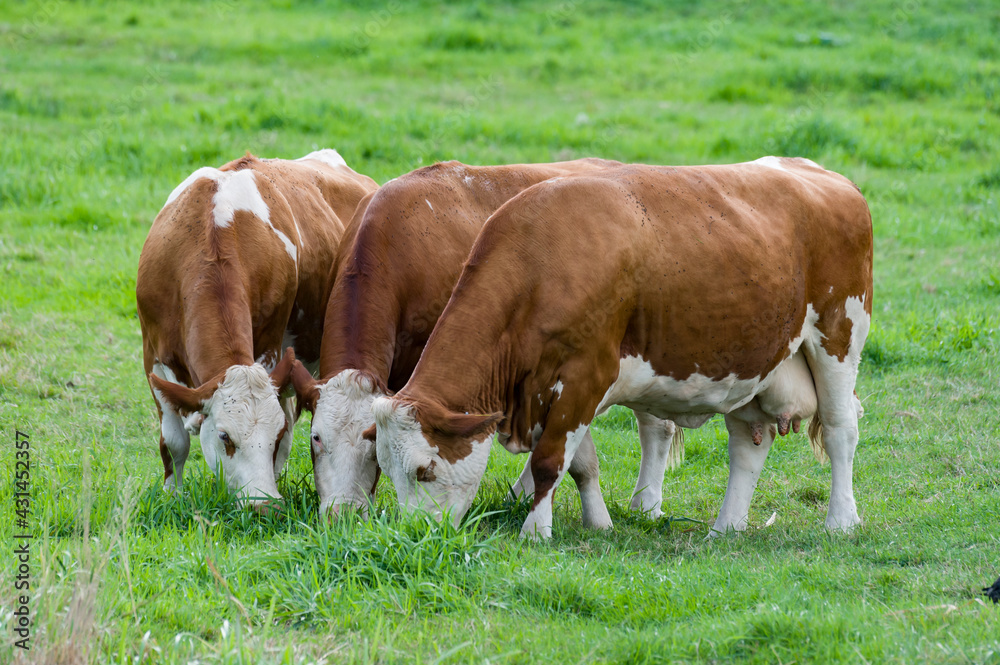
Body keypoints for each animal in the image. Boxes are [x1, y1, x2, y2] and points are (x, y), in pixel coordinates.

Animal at [135, 148, 376, 506]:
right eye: (224, 436)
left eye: (272, 435)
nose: (263, 507)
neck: (212, 231)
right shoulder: (152, 355)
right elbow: (174, 442)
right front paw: (172, 496)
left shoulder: (270, 349)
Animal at [372, 157, 872, 540]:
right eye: (385, 471)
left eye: (424, 471)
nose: (410, 535)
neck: (540, 262)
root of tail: (819, 172)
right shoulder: (547, 389)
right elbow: (576, 462)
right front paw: (598, 523)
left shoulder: (585, 375)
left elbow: (549, 461)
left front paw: (535, 532)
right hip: (752, 362)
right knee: (750, 442)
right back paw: (724, 529)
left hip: (839, 336)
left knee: (841, 428)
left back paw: (841, 522)